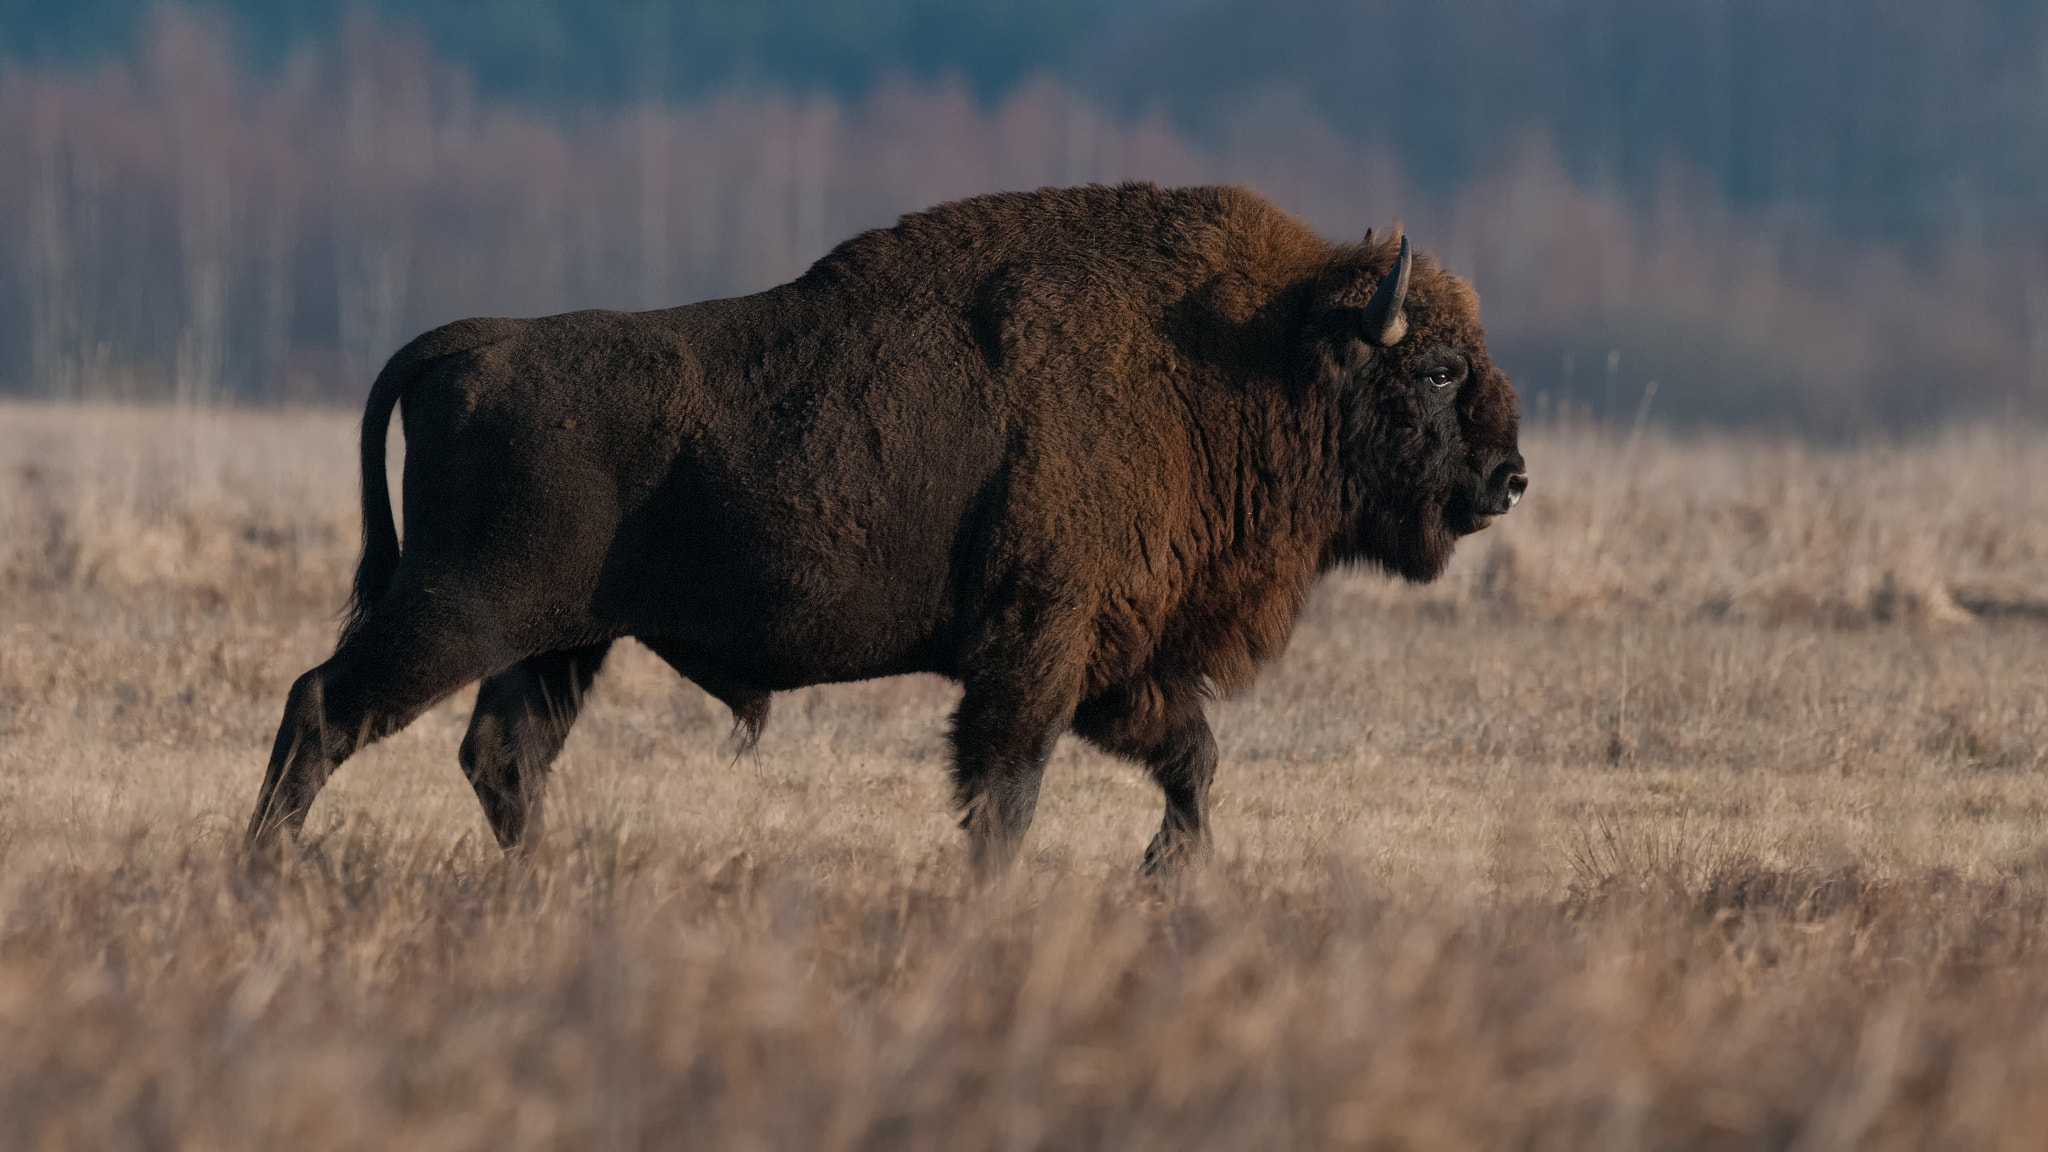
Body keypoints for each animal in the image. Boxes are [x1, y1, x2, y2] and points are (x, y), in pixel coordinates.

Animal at [247, 182, 1526, 876]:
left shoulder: (1115, 661)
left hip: (560, 643)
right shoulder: (1035, 653)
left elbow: (1191, 759)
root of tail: (470, 342)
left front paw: (1160, 878)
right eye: (1437, 368)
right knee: (326, 705)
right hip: (458, 612)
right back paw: (262, 876)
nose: (1508, 477)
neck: (1240, 353)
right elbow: (1004, 797)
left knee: (502, 759)